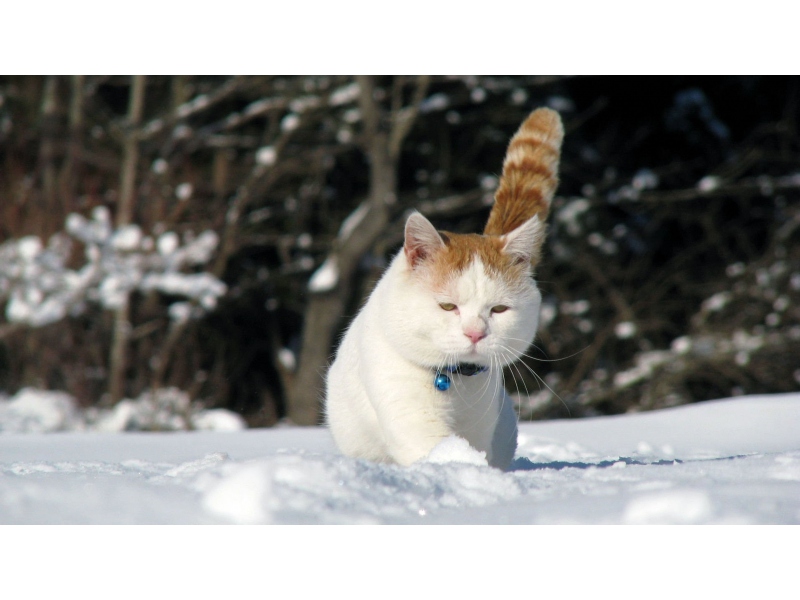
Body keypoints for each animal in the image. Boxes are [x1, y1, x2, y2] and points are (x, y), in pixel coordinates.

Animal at [324, 109, 564, 474]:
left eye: (498, 310)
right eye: (448, 307)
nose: (475, 333)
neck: (456, 382)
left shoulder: (482, 423)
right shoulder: (408, 413)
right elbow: (438, 452)